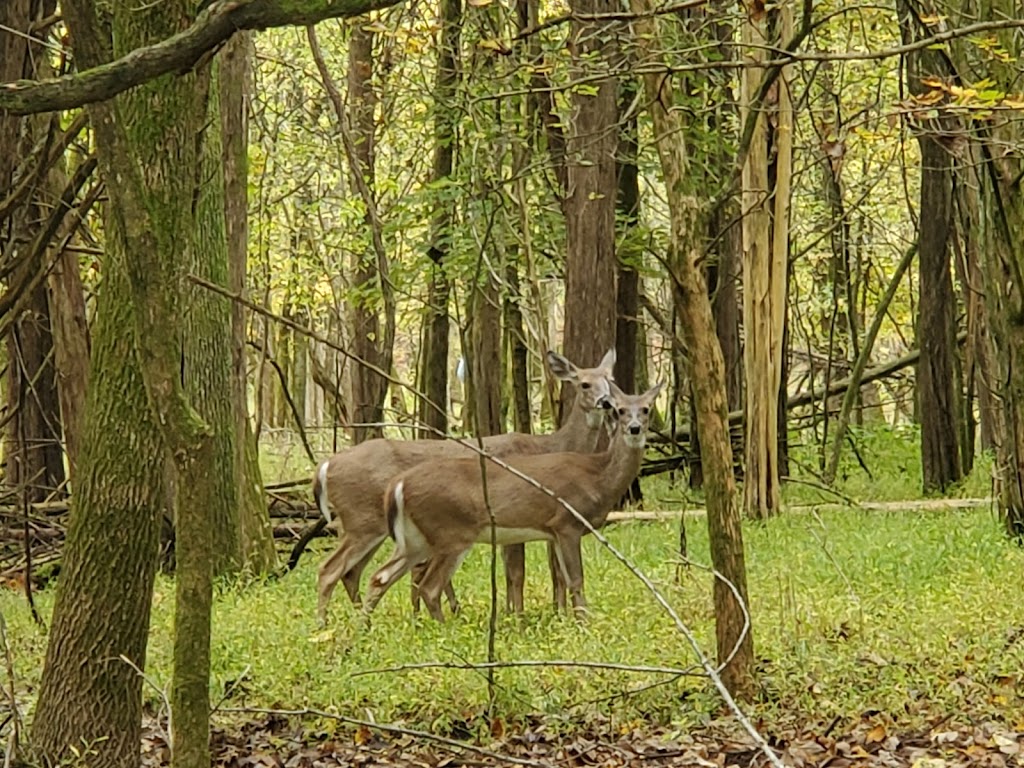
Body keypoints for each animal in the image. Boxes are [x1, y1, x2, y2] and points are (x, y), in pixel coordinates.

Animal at [315, 348, 610, 626]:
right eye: (584, 383)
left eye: (610, 380)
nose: (605, 402)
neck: (548, 446)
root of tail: (326, 466)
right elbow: (517, 572)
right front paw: (518, 618)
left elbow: (551, 570)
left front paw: (548, 614)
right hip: (363, 521)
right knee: (331, 570)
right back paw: (325, 626)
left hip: (370, 527)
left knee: (353, 573)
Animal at [360, 382, 663, 622]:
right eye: (619, 410)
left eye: (647, 408)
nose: (634, 428)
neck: (597, 478)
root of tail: (398, 484)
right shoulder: (566, 522)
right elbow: (576, 579)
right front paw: (584, 624)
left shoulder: (554, 531)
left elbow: (563, 578)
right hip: (451, 532)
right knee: (428, 586)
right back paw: (444, 629)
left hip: (416, 538)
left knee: (380, 576)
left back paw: (363, 631)